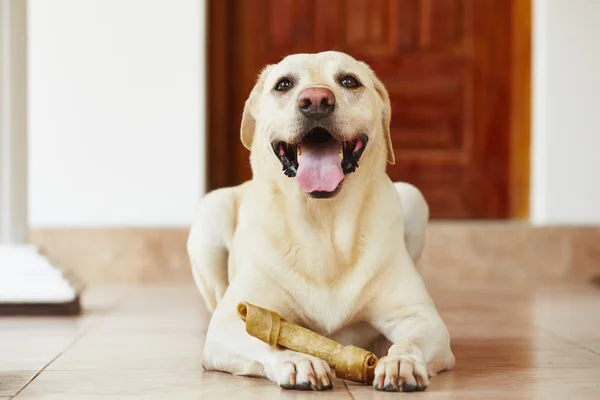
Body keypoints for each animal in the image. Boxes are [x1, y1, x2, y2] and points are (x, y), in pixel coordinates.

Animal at [188, 51, 454, 392]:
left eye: (349, 81)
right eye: (283, 84)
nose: (316, 100)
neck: (324, 223)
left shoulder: (420, 317)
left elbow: (412, 341)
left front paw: (400, 362)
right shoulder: (231, 323)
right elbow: (269, 339)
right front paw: (299, 361)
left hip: (413, 197)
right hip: (212, 210)